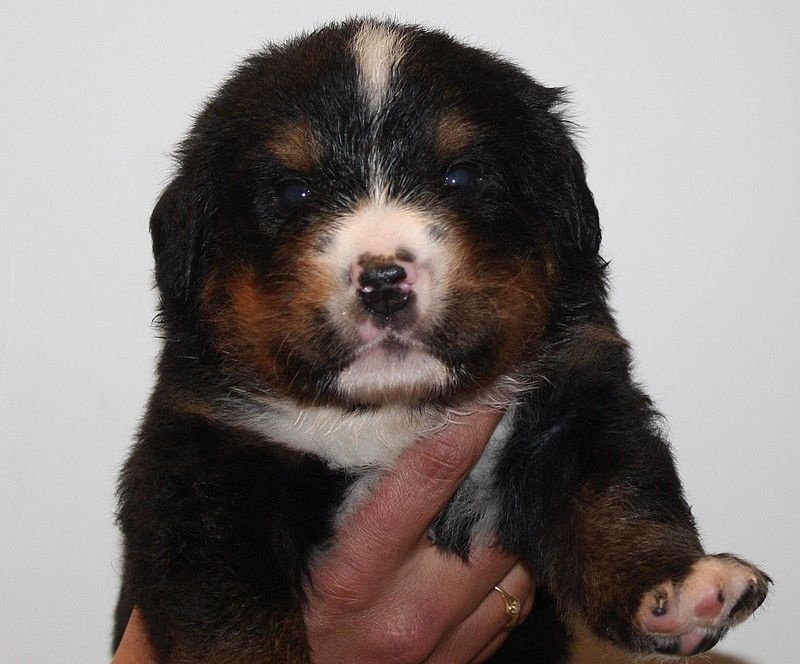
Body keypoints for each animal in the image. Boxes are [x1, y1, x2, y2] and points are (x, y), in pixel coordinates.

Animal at [114, 18, 770, 662]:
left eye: (463, 175)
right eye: (292, 192)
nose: (382, 280)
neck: (389, 417)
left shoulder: (574, 397)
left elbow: (615, 495)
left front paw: (679, 586)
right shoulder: (204, 467)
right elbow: (233, 616)